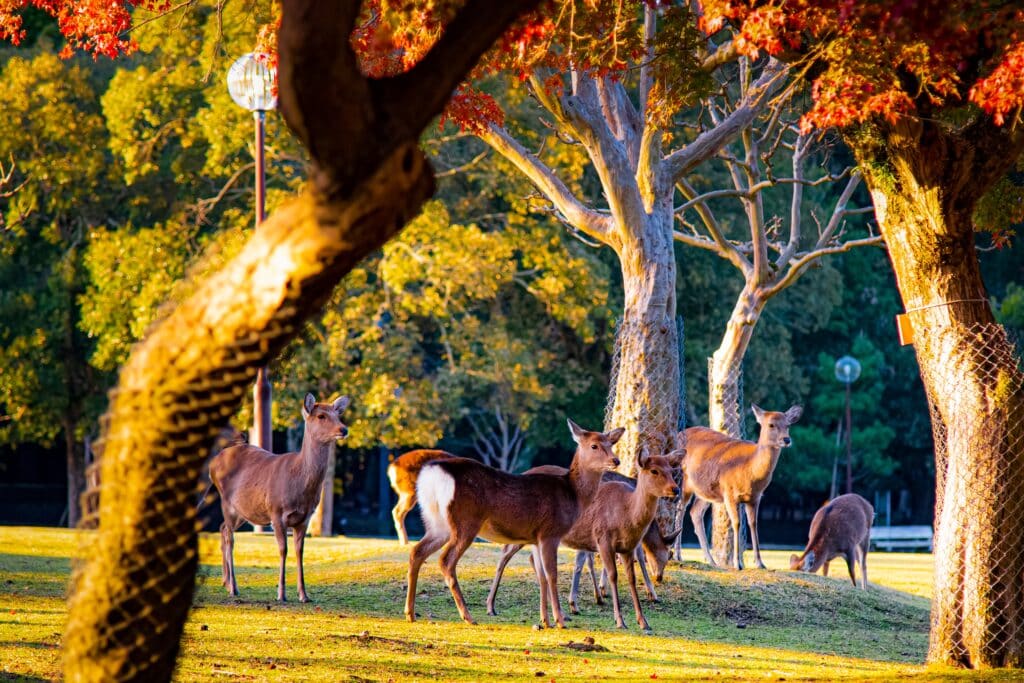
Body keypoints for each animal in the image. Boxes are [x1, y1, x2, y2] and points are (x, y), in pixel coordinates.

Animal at [208, 392, 350, 602]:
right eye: (321, 416)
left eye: (338, 414)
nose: (343, 429)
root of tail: (213, 462)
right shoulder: (276, 512)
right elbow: (283, 550)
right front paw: (281, 594)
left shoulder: (305, 517)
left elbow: (300, 551)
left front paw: (304, 595)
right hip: (226, 502)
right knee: (230, 539)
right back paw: (233, 587)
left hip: (243, 511)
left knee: (223, 528)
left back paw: (226, 582)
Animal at [405, 419, 622, 629]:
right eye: (594, 445)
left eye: (611, 443)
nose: (616, 460)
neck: (572, 495)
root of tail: (432, 475)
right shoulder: (550, 532)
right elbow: (552, 574)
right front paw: (560, 620)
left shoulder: (535, 538)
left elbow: (541, 576)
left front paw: (545, 620)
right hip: (465, 521)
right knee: (446, 560)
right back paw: (467, 616)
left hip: (436, 522)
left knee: (417, 551)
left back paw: (410, 613)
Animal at [485, 446, 682, 630]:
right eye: (654, 470)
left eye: (671, 471)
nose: (676, 489)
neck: (627, 514)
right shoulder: (603, 539)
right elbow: (614, 573)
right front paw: (619, 618)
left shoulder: (627, 547)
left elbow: (630, 578)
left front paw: (643, 621)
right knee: (505, 554)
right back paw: (491, 606)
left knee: (533, 562)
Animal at [680, 404, 802, 570]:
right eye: (771, 424)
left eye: (788, 425)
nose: (787, 439)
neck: (749, 471)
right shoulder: (729, 493)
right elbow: (736, 523)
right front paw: (736, 563)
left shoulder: (755, 497)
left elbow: (753, 524)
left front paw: (760, 563)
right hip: (682, 481)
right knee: (680, 510)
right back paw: (677, 555)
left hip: (706, 492)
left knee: (695, 512)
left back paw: (711, 561)